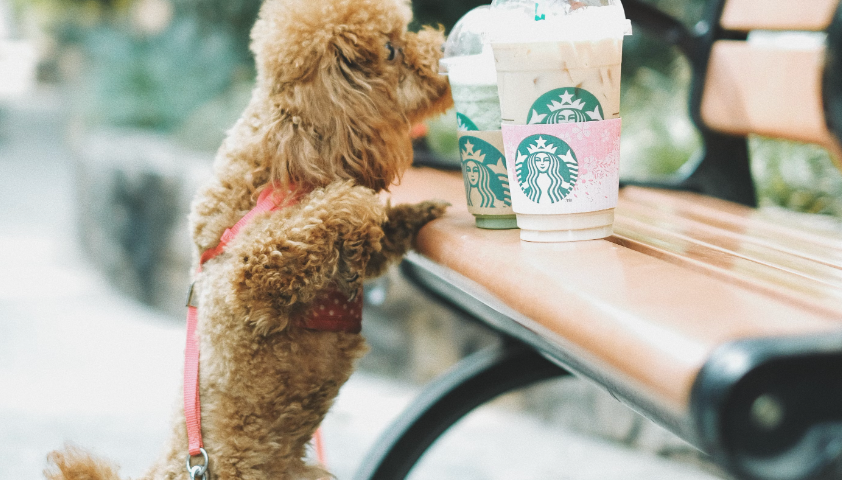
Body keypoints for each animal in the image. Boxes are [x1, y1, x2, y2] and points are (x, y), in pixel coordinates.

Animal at [44, 0, 452, 478]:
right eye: (390, 49)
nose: (444, 47)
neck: (276, 166)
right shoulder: (250, 281)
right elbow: (323, 215)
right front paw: (355, 201)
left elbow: (373, 242)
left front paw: (419, 214)